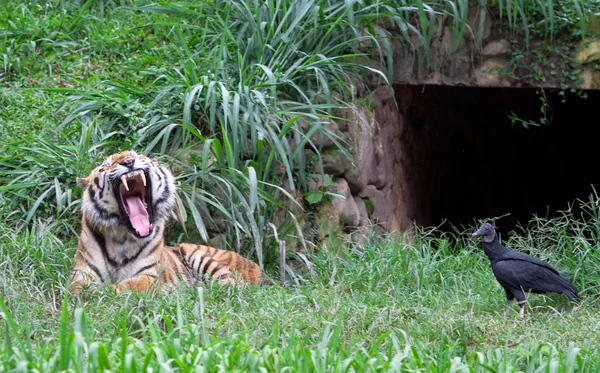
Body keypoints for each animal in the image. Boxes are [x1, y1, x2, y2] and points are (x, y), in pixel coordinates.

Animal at [69, 149, 262, 294]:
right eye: (107, 164)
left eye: (137, 155)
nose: (129, 161)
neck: (122, 236)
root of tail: (255, 266)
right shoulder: (82, 274)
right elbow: (81, 288)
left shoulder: (148, 275)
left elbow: (125, 286)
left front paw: (105, 292)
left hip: (197, 254)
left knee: (232, 286)